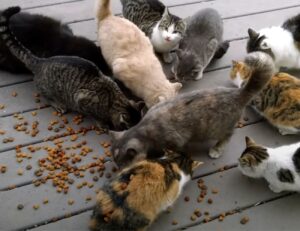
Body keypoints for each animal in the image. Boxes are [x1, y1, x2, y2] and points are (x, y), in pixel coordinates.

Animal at [0, 6, 143, 131]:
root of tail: (41, 61)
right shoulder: (82, 99)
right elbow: (94, 115)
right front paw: (102, 123)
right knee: (45, 94)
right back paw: (57, 103)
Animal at [109, 51, 276, 168]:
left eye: (123, 165)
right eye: (116, 164)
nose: (118, 170)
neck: (144, 130)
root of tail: (238, 93)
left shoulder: (176, 140)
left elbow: (176, 150)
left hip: (218, 128)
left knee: (227, 137)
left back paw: (216, 150)